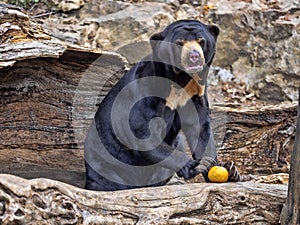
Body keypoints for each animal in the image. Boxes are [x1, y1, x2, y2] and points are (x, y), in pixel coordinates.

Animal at [84, 20, 241, 191]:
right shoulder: (144, 91)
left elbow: (199, 128)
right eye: (179, 43)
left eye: (201, 41)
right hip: (107, 163)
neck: (180, 80)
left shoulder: (194, 95)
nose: (194, 57)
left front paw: (227, 170)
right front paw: (194, 165)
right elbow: (142, 133)